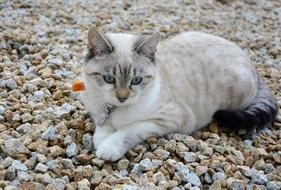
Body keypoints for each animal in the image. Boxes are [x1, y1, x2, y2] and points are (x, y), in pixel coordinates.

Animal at [80, 28, 276, 161]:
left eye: (136, 80)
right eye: (108, 79)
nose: (122, 98)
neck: (116, 110)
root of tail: (251, 63)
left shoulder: (168, 119)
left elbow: (128, 130)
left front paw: (108, 147)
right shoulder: (99, 111)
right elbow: (101, 127)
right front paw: (101, 138)